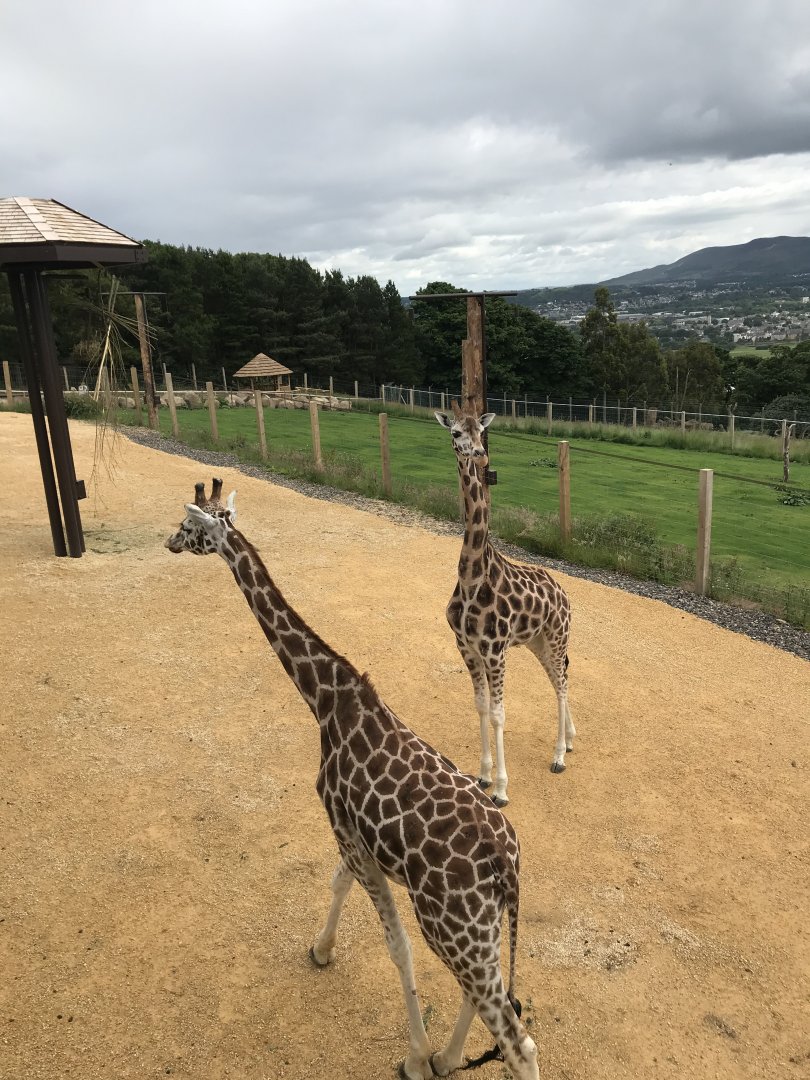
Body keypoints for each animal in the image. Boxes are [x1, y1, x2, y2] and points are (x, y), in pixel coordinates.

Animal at [164, 480, 539, 1080]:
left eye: (190, 525)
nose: (170, 541)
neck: (325, 700)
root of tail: (509, 865)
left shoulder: (345, 829)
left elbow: (397, 947)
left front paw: (414, 1058)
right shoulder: (353, 837)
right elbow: (337, 884)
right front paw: (321, 951)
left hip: (452, 923)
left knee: (516, 1038)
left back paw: (449, 1056)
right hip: (481, 926)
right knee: (492, 995)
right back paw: (451, 1056)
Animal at [435, 404, 575, 806]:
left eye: (481, 431)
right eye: (455, 432)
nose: (480, 453)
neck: (471, 578)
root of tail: (564, 594)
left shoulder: (495, 651)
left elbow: (498, 714)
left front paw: (500, 788)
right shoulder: (466, 647)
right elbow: (481, 706)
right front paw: (483, 775)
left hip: (556, 636)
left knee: (561, 684)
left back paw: (559, 756)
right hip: (538, 642)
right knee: (558, 678)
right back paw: (569, 740)